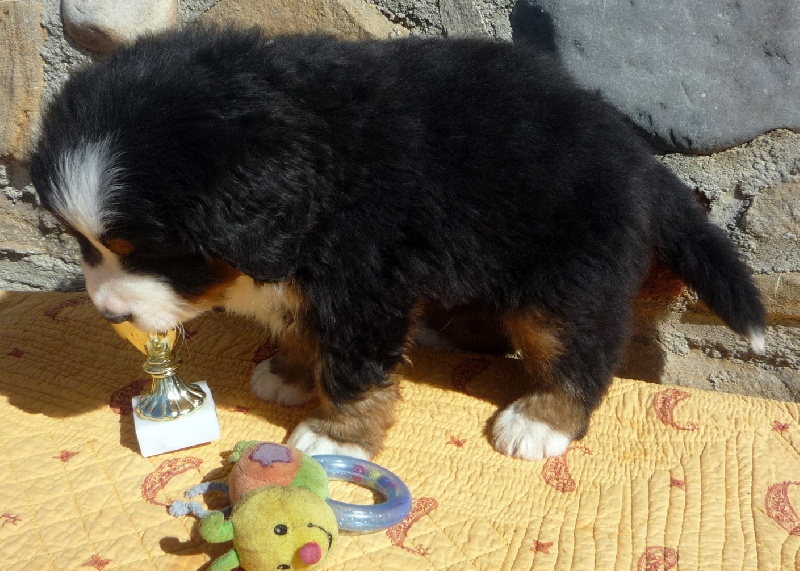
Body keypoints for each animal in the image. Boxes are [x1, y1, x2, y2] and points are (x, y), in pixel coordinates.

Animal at [30, 27, 766, 461]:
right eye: (84, 245)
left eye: (147, 249)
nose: (111, 314)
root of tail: (638, 155)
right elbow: (300, 329)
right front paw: (289, 373)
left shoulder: (364, 284)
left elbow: (354, 370)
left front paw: (335, 436)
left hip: (564, 274)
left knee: (577, 346)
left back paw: (542, 420)